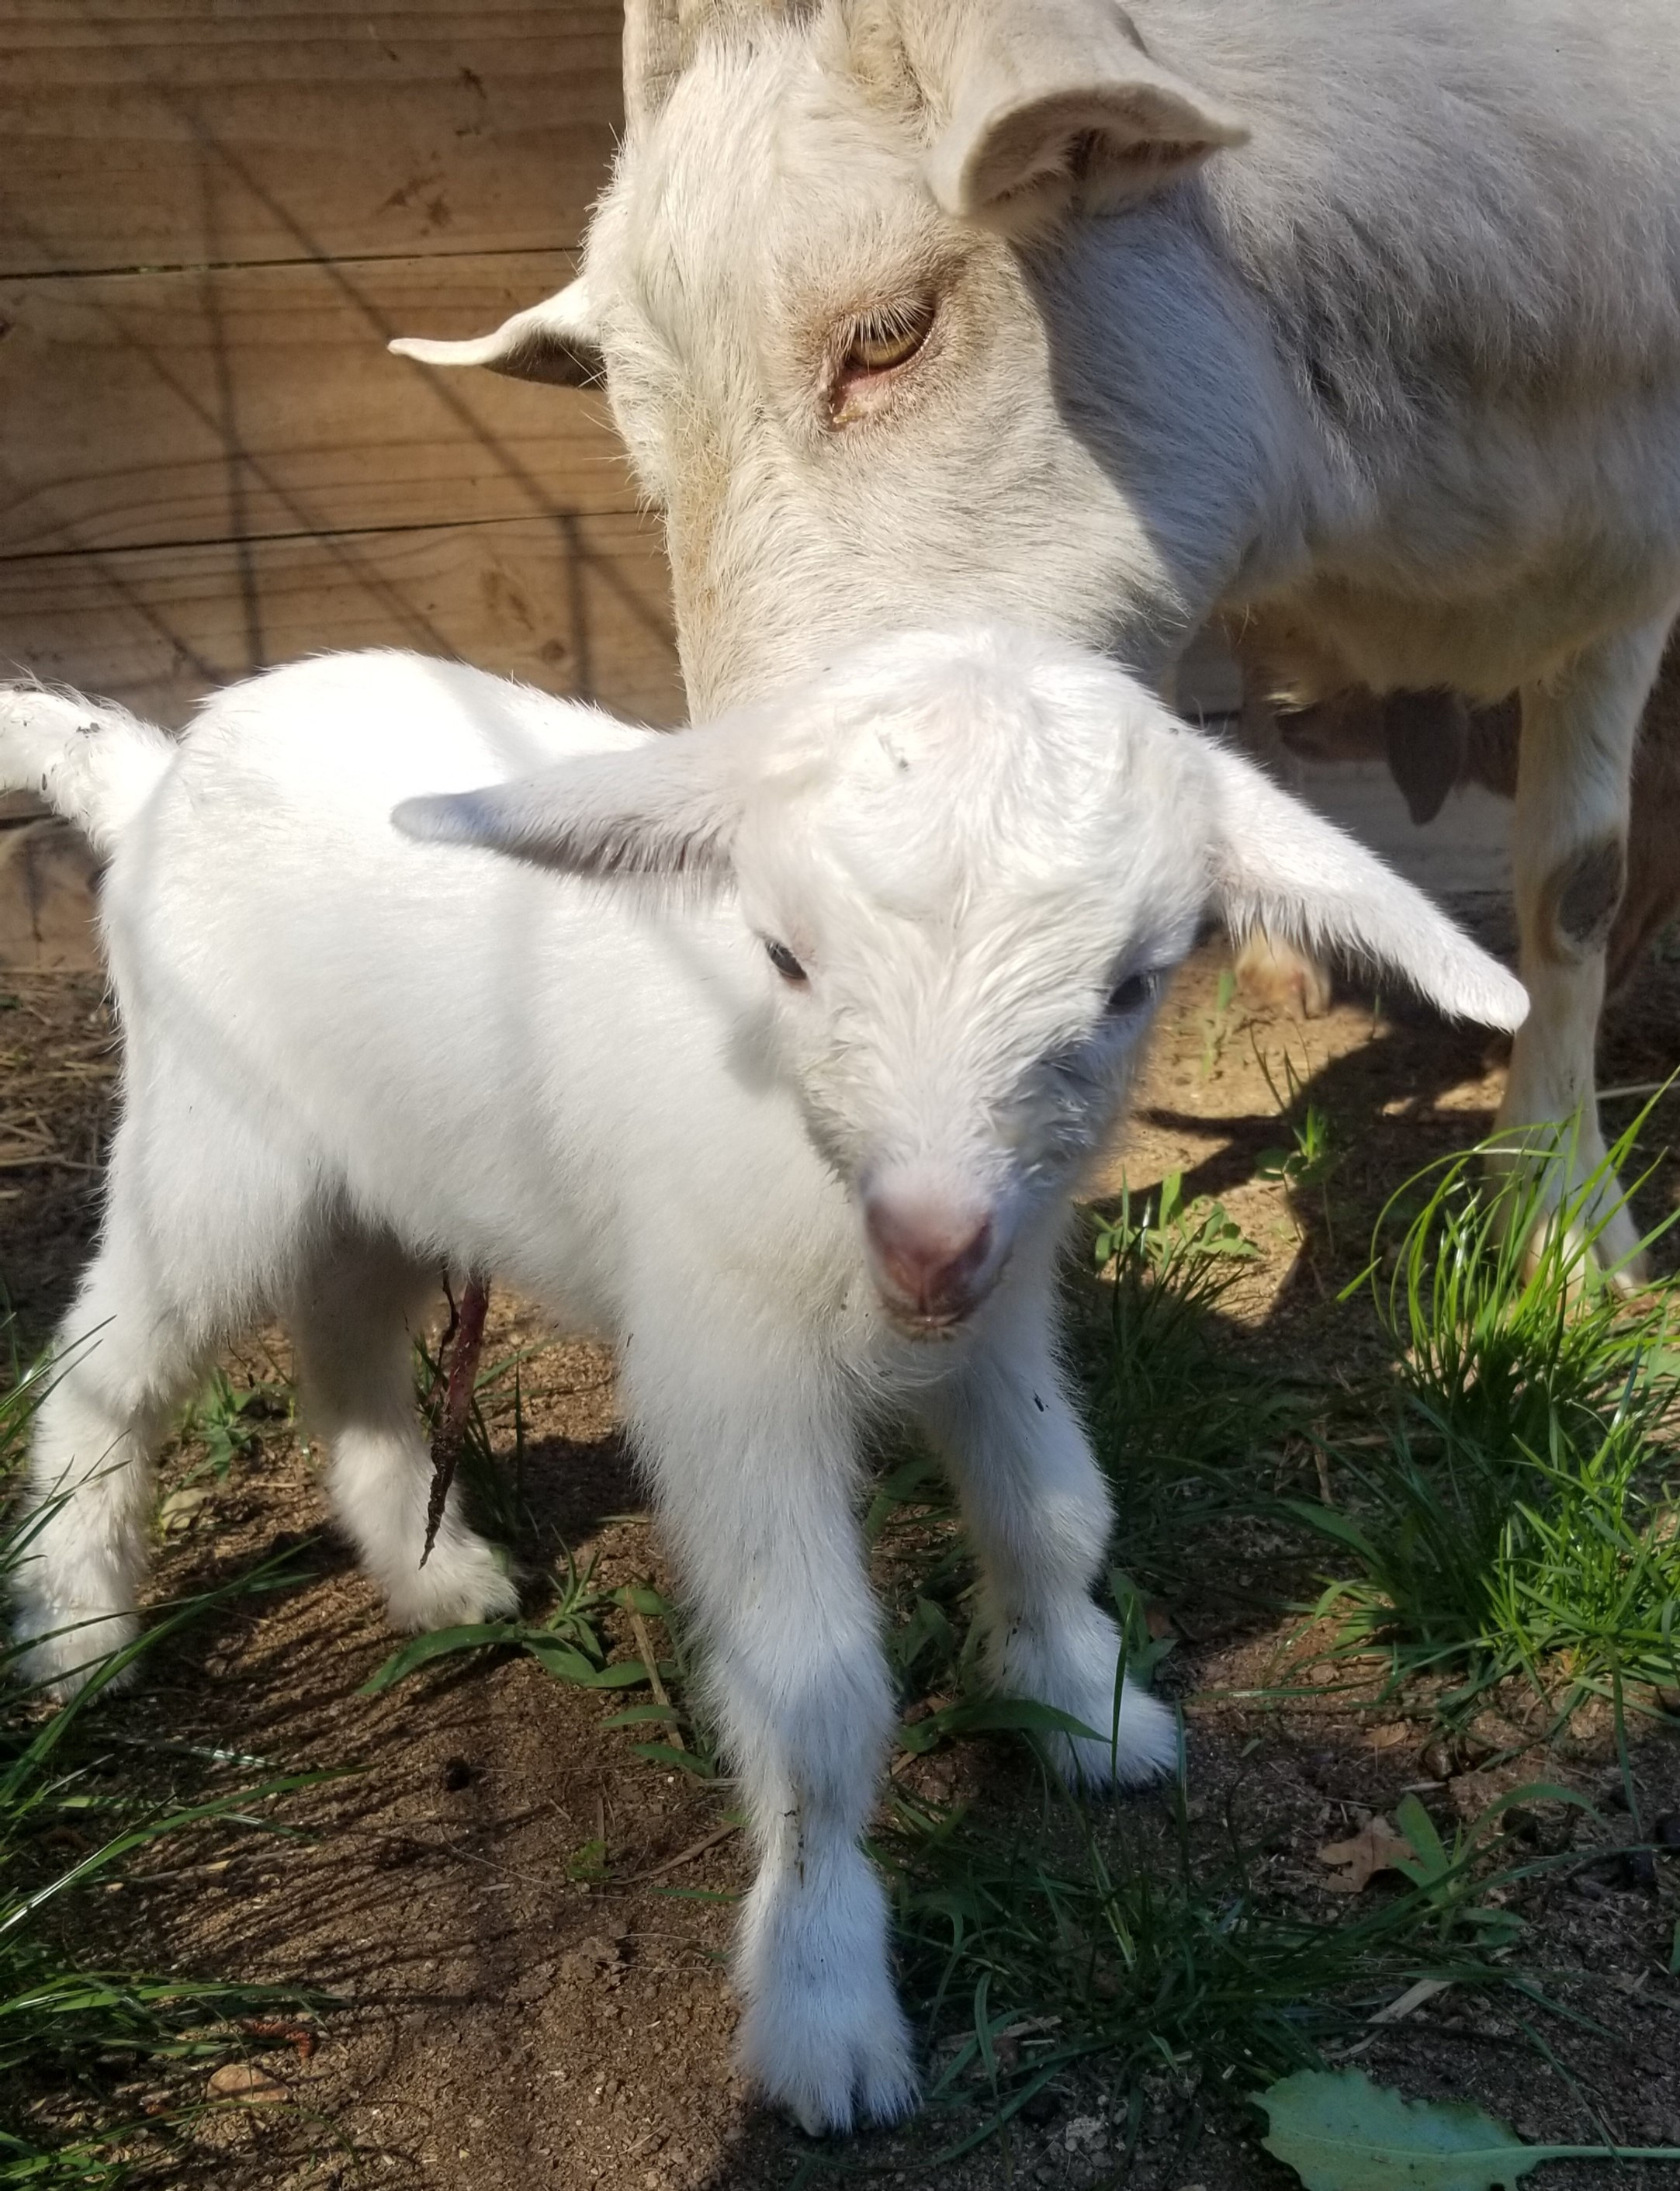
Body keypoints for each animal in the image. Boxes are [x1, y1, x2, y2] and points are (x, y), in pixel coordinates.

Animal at [1, 627, 1523, 2131]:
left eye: (1133, 985)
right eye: (785, 954)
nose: (927, 1243)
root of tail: (154, 775)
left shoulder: (999, 1322)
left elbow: (1054, 1511)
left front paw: (1081, 1704)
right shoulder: (732, 1377)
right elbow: (815, 1686)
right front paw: (823, 2002)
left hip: (378, 1170)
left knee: (346, 1343)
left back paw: (433, 1575)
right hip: (212, 1141)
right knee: (102, 1370)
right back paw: (79, 1638)